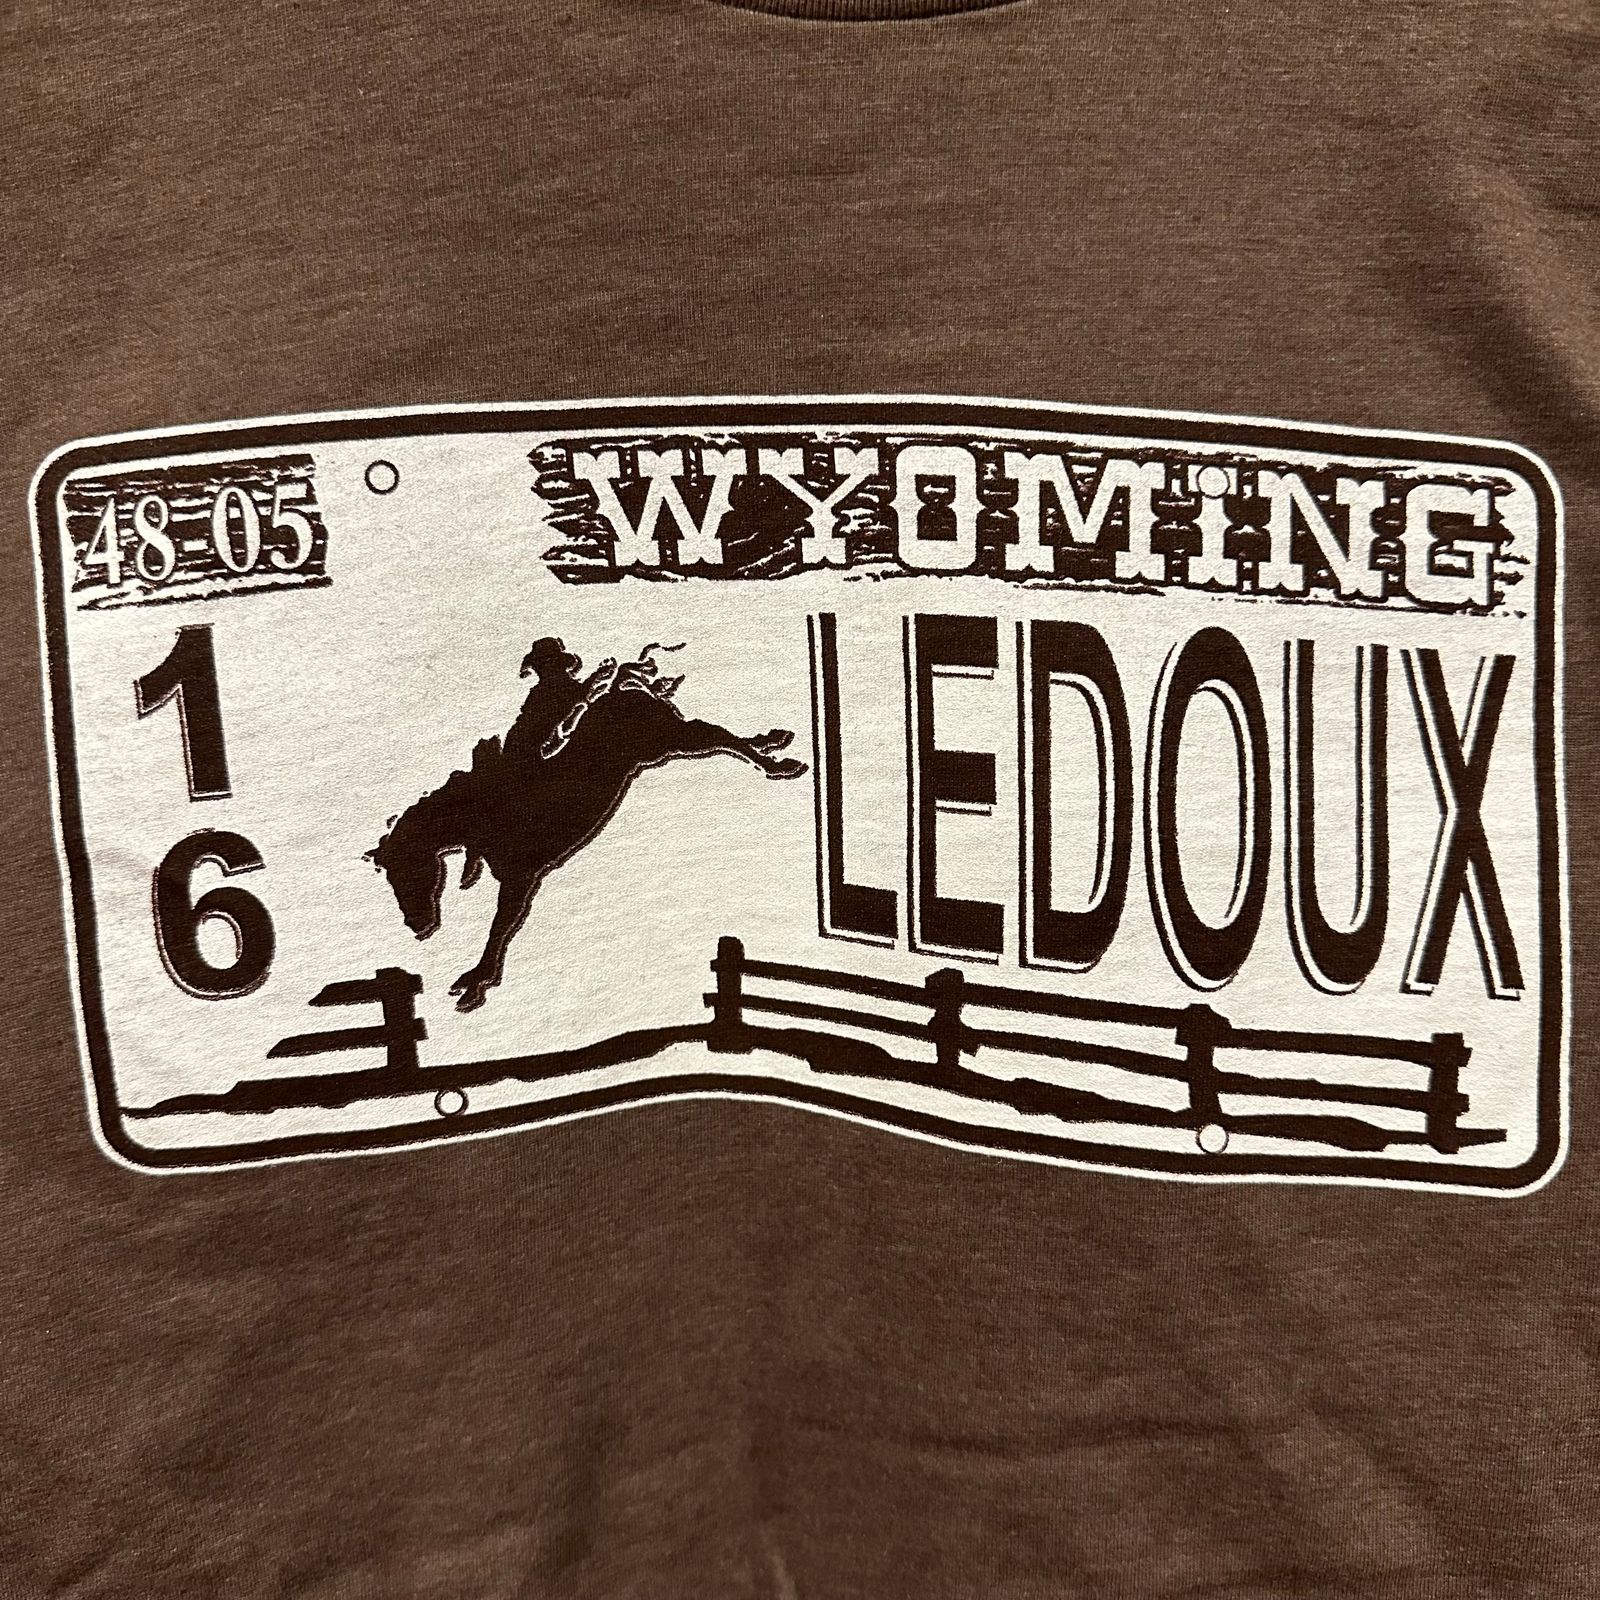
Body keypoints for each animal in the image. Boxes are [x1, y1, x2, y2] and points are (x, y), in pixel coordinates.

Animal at [369, 680, 806, 1011]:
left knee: (719, 736)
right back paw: (773, 743)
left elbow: (498, 929)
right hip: (667, 745)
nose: (418, 926)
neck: (489, 813)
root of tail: (631, 690)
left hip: (669, 742)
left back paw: (779, 762)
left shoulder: (520, 877)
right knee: (718, 734)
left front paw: (475, 982)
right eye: (390, 879)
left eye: (411, 870)